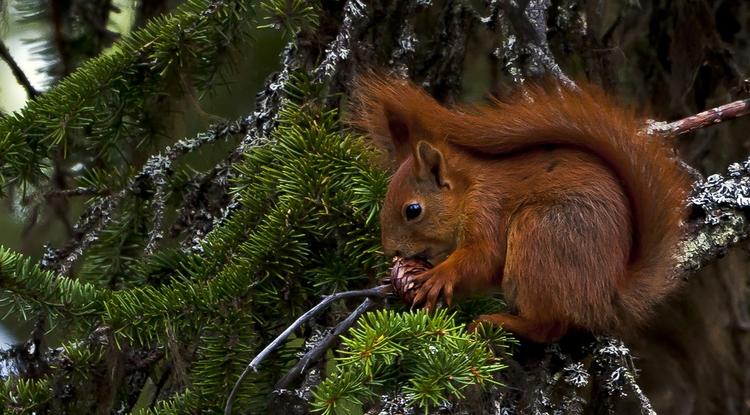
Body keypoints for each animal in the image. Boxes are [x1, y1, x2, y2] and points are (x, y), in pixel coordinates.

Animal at [358, 76, 692, 342]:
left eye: (413, 210)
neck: (470, 188)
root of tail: (607, 293)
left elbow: (483, 257)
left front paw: (439, 275)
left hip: (539, 236)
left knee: (549, 327)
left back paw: (499, 322)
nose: (391, 252)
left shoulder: (488, 211)